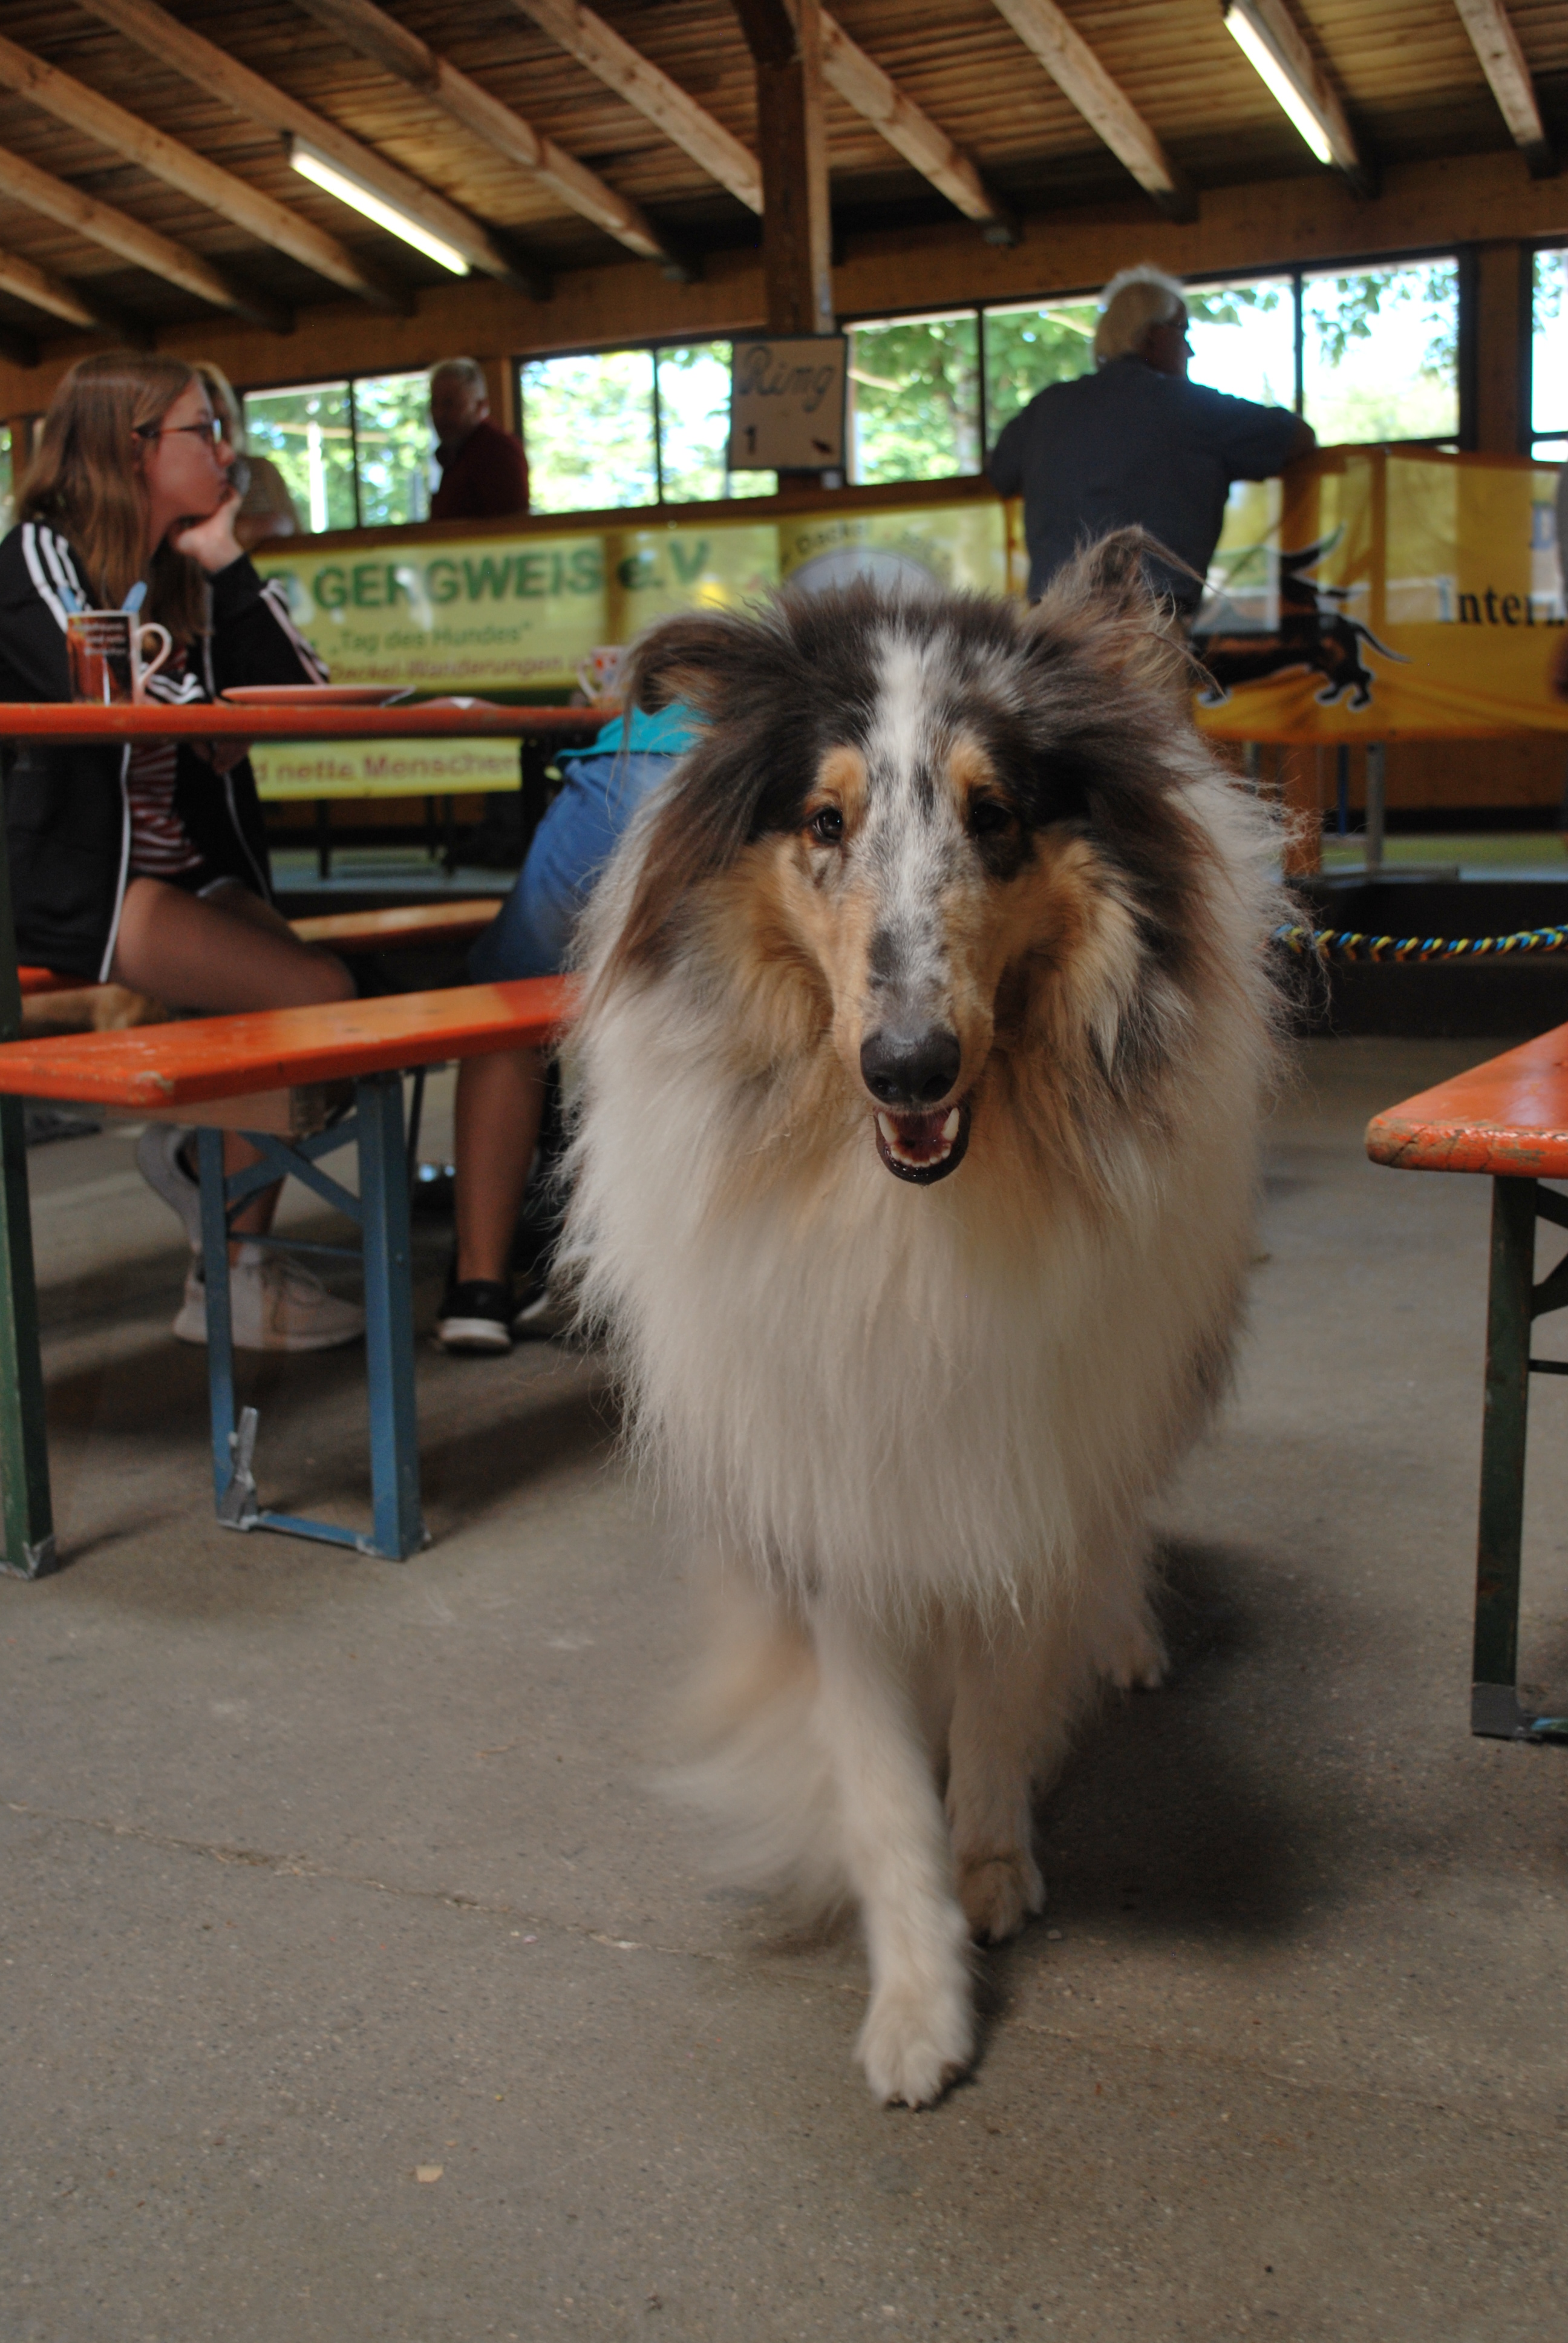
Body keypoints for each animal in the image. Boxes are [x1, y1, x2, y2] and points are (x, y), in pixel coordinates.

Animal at [569, 539, 1275, 2118]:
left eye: (995, 813)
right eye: (824, 819)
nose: (908, 1067)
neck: (910, 1217)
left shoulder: (1028, 1460)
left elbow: (1003, 1702)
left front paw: (994, 1861)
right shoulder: (842, 1480)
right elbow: (881, 1779)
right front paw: (915, 2006)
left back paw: (1126, 1638)